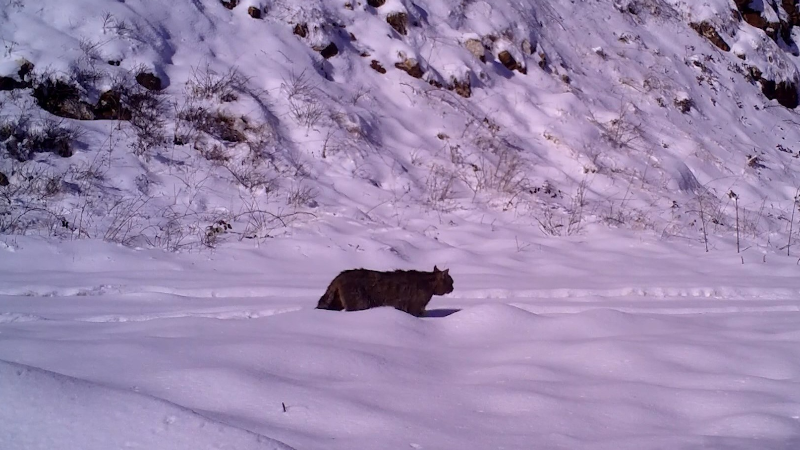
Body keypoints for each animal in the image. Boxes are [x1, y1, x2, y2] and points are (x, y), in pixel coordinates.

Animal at [318, 268, 456, 316]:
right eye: (451, 282)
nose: (453, 288)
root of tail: (340, 276)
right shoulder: (415, 307)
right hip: (360, 302)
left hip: (336, 302)